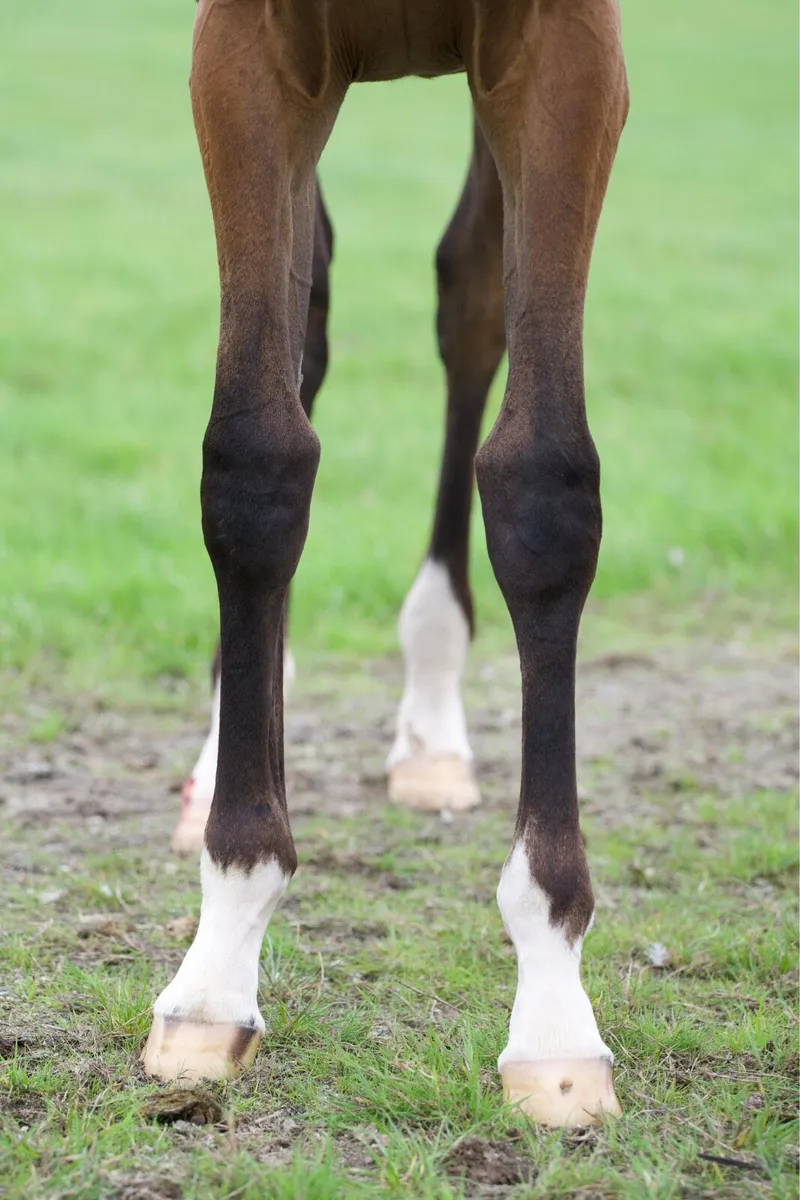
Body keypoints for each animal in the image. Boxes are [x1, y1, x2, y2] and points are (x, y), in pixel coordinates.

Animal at [142, 0, 629, 1130]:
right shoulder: (241, 45)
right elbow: (255, 459)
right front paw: (217, 966)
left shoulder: (567, 47)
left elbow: (542, 481)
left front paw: (553, 1007)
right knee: (308, 319)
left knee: (473, 302)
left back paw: (433, 721)